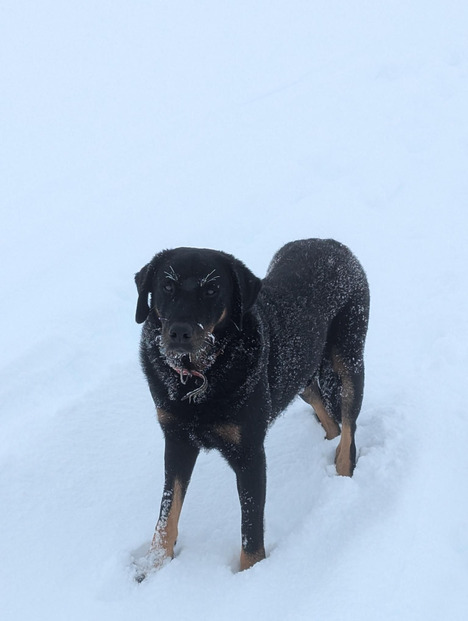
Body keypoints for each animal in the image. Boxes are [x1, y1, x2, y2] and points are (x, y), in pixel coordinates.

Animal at [134, 237, 370, 572]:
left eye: (212, 289)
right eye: (167, 285)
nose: (179, 331)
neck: (201, 377)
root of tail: (330, 242)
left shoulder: (250, 454)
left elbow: (251, 527)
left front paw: (250, 576)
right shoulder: (177, 439)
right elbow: (168, 510)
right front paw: (152, 565)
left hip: (349, 359)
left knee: (349, 427)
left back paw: (342, 473)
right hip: (298, 373)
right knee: (323, 407)